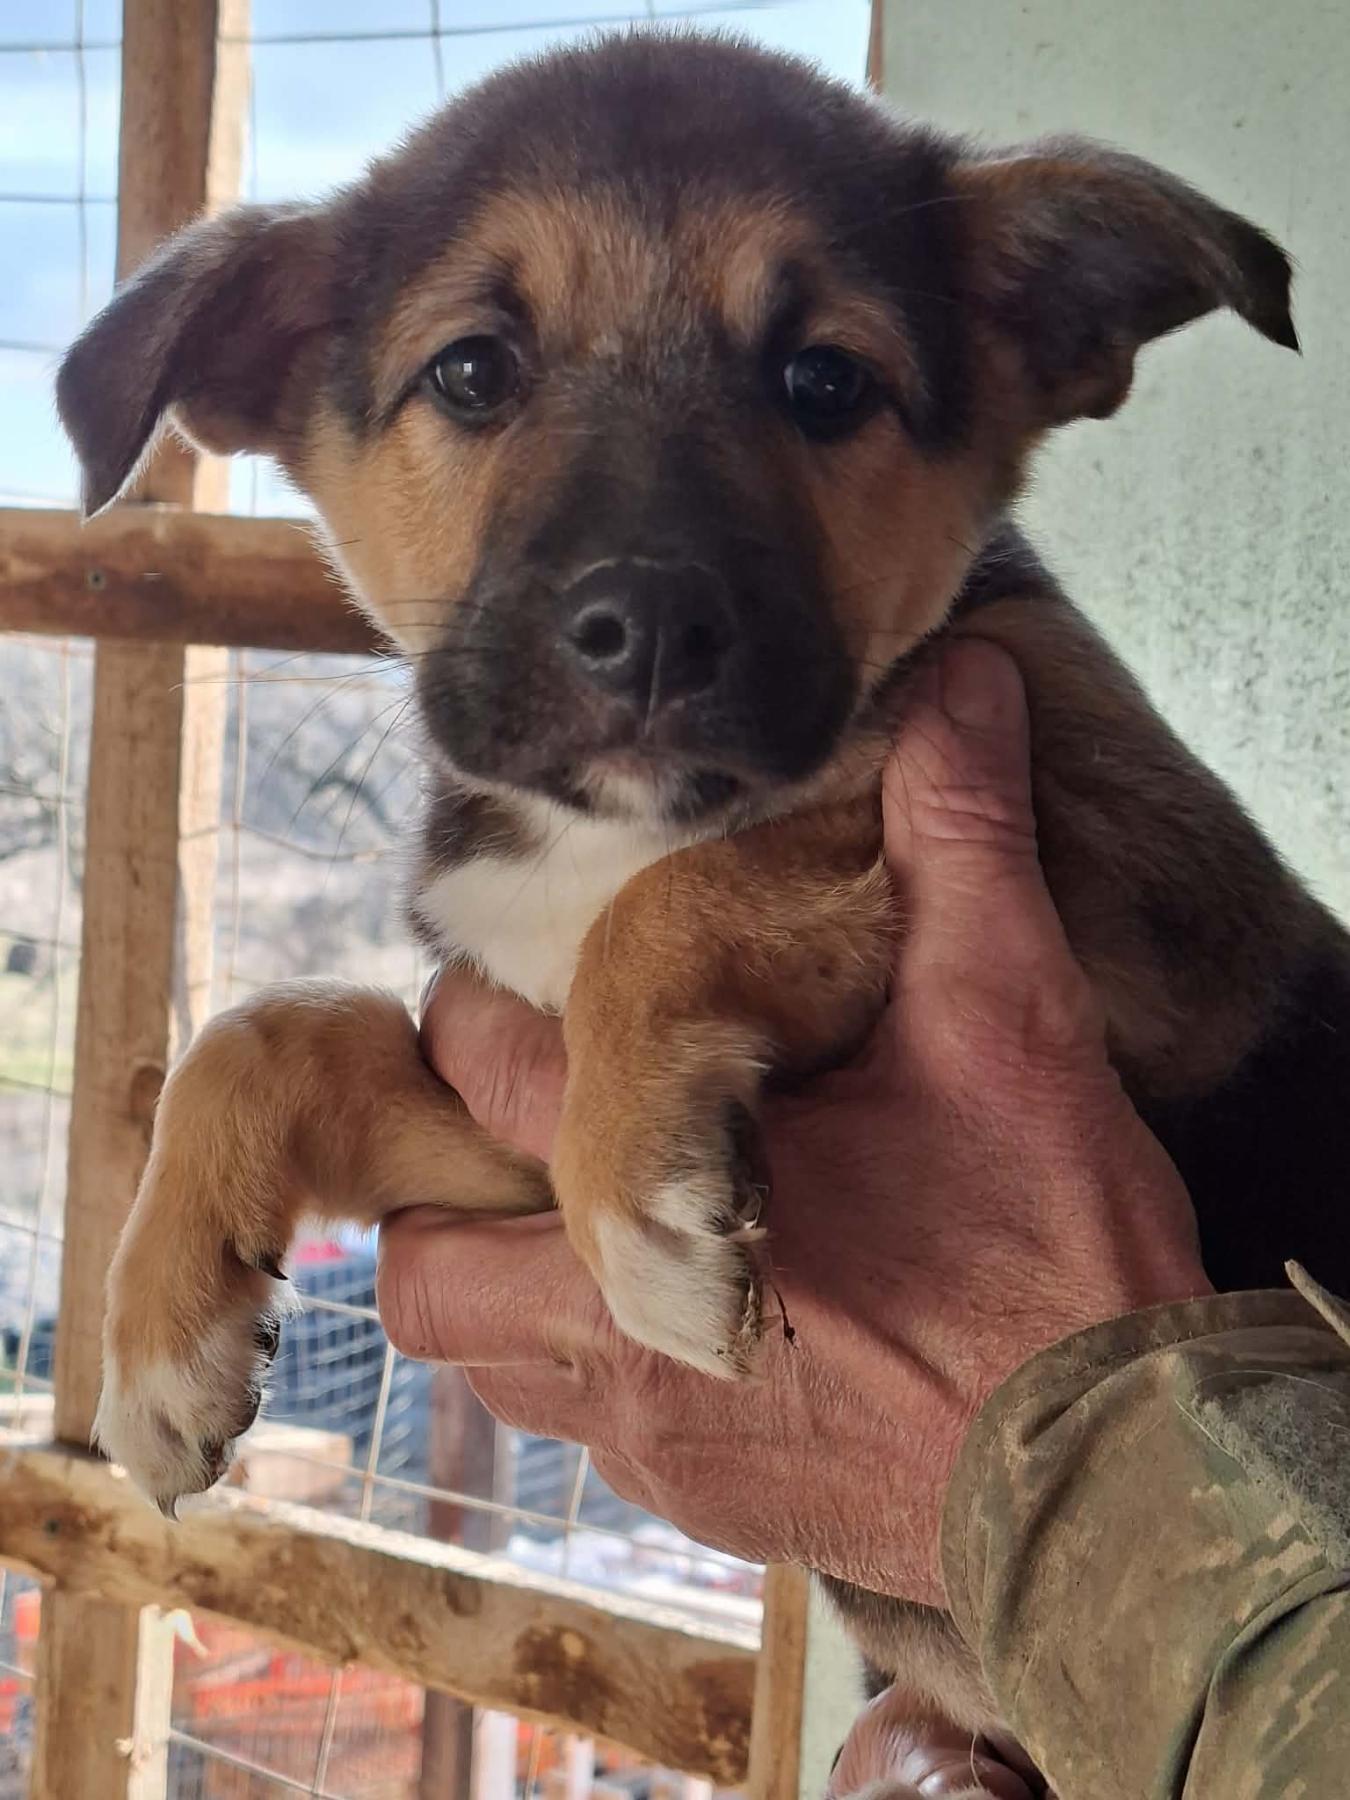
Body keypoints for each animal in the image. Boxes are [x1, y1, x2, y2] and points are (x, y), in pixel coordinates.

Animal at [57, 27, 1350, 1764]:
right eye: (472, 372)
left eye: (825, 382)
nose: (654, 632)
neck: (604, 825)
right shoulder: (502, 1128)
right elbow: (271, 1029)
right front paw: (159, 1339)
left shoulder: (1152, 895)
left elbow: (698, 885)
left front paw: (649, 1209)